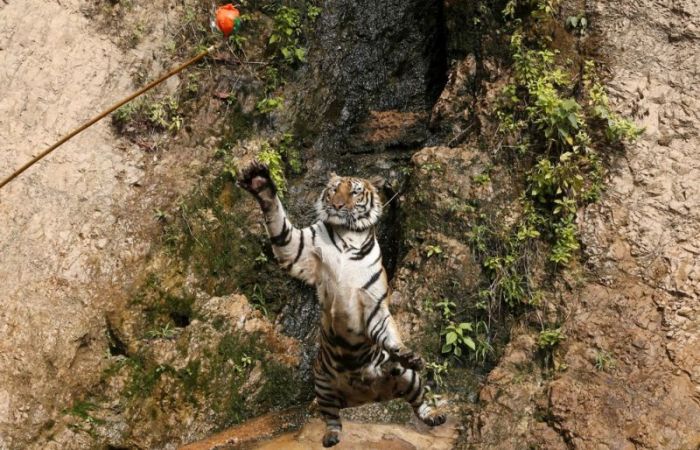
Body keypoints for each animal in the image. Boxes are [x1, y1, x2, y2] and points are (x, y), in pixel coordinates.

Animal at [239, 163, 448, 448]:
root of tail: (366, 397)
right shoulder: (298, 250)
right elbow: (280, 225)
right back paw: (331, 437)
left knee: (416, 400)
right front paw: (260, 182)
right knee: (332, 417)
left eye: (355, 192)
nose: (337, 205)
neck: (350, 235)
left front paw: (405, 353)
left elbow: (388, 333)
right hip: (322, 385)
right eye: (333, 190)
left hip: (410, 378)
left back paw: (427, 408)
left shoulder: (372, 303)